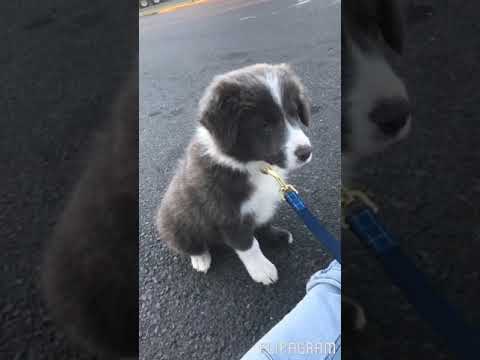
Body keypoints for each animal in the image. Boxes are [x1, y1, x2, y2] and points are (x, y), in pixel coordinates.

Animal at [158, 63, 314, 286]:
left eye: (294, 114)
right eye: (264, 125)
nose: (305, 152)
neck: (252, 165)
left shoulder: (262, 204)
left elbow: (264, 223)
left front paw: (275, 236)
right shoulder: (226, 214)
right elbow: (249, 245)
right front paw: (262, 270)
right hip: (177, 222)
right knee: (190, 244)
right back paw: (201, 258)